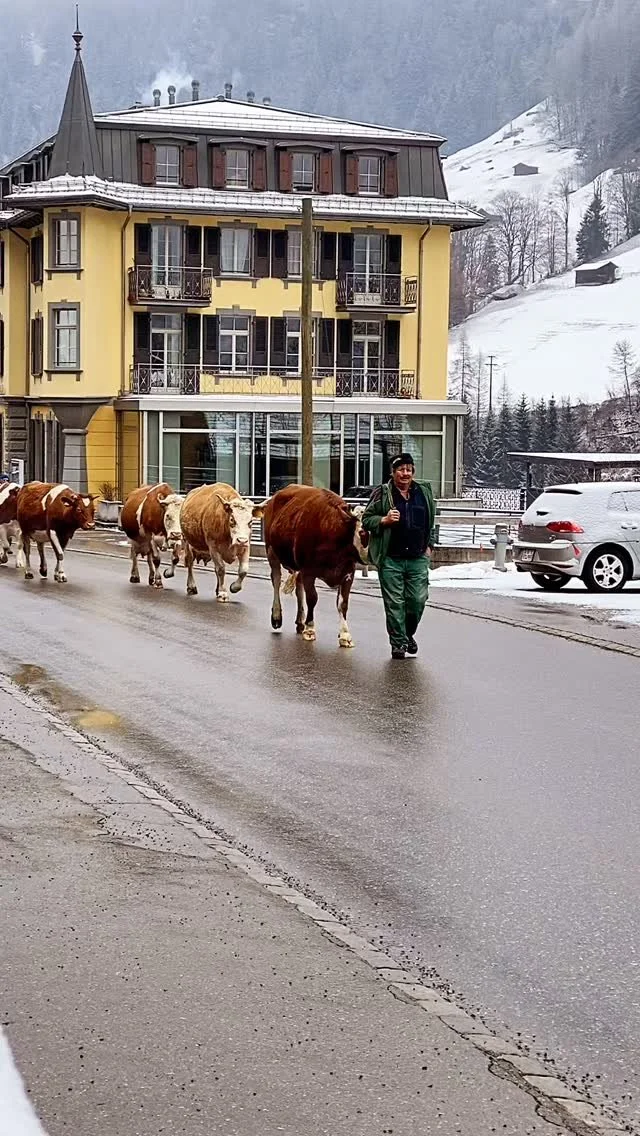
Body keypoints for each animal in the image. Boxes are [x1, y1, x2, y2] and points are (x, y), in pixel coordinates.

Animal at [264, 485, 368, 648]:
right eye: (362, 531)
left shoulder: (347, 573)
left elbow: (343, 603)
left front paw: (345, 635)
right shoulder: (309, 571)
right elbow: (312, 598)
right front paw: (310, 629)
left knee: (298, 586)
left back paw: (300, 621)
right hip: (271, 551)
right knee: (276, 579)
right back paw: (276, 616)